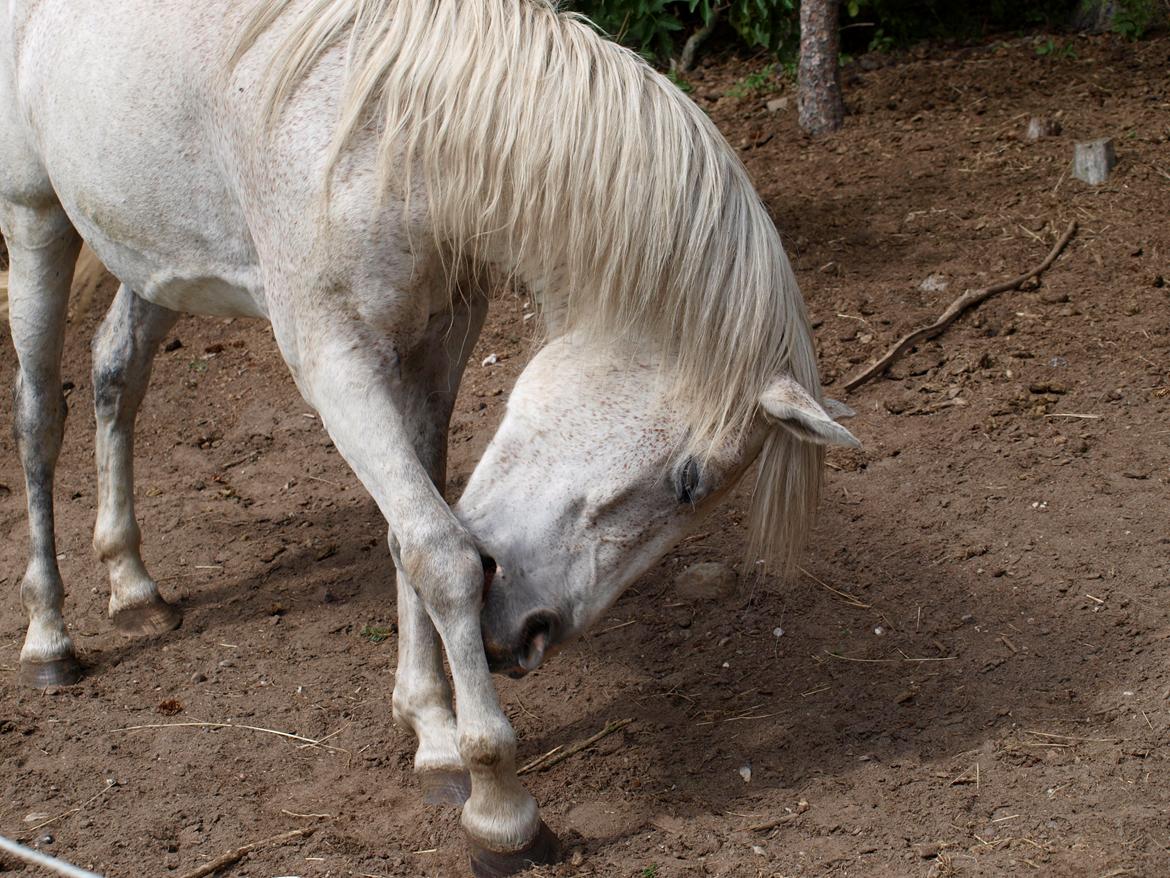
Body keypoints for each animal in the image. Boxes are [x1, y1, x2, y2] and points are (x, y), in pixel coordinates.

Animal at [2, 0, 861, 875]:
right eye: (689, 482)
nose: (526, 634)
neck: (390, 121)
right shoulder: (335, 359)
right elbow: (441, 555)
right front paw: (498, 804)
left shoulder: (437, 341)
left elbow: (406, 536)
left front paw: (434, 738)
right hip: (35, 217)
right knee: (39, 419)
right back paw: (49, 639)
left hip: (152, 254)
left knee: (117, 375)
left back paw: (133, 586)